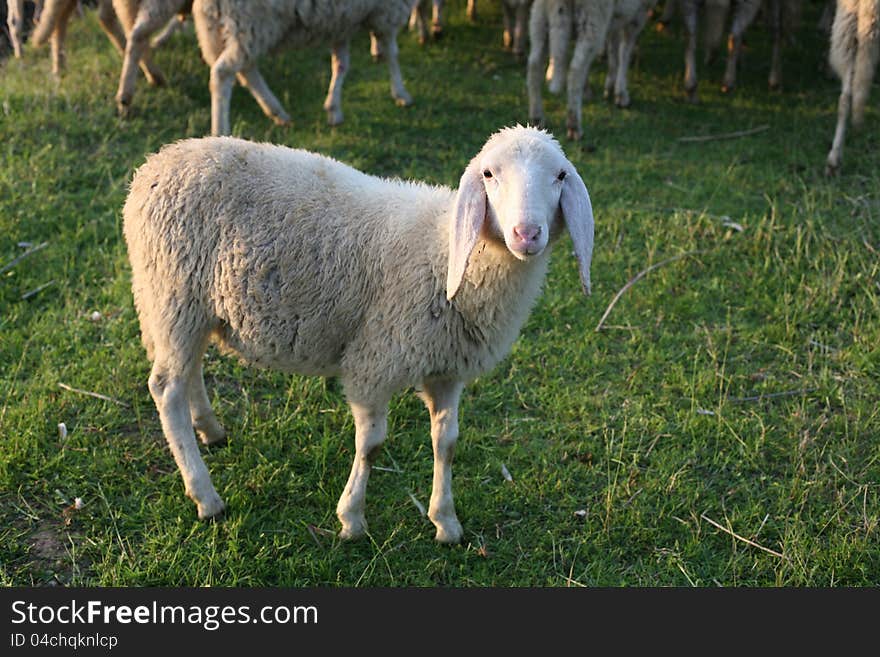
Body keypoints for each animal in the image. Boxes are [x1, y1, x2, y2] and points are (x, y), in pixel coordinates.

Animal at [120, 125, 596, 540]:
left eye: (559, 175)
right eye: (489, 175)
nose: (526, 233)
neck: (445, 252)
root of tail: (153, 165)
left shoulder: (446, 369)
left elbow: (446, 442)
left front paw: (445, 521)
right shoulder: (375, 362)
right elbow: (372, 445)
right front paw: (351, 519)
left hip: (188, 307)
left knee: (189, 371)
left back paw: (210, 428)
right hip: (173, 293)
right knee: (166, 389)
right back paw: (205, 495)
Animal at [190, 0, 416, 136]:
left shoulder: (342, 23)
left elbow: (341, 64)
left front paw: (334, 109)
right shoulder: (387, 12)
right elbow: (392, 53)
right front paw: (401, 93)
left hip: (221, 27)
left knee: (247, 70)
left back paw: (277, 112)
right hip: (251, 23)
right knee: (223, 73)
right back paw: (220, 131)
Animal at [524, 0, 656, 138]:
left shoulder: (616, 19)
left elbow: (613, 47)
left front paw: (607, 85)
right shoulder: (640, 11)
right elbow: (625, 50)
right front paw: (621, 93)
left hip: (539, 17)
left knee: (534, 65)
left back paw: (537, 117)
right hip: (592, 17)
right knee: (576, 69)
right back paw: (574, 125)